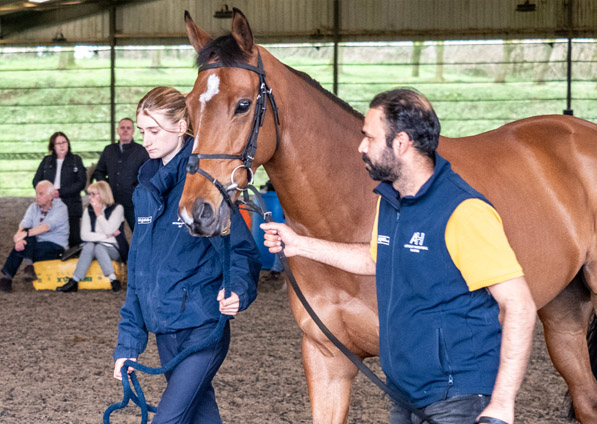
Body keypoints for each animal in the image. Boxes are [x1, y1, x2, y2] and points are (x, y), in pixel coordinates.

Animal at [180, 7, 596, 424]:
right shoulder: (326, 358)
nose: (195, 212)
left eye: (243, 104)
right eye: (190, 105)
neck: (350, 208)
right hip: (562, 315)